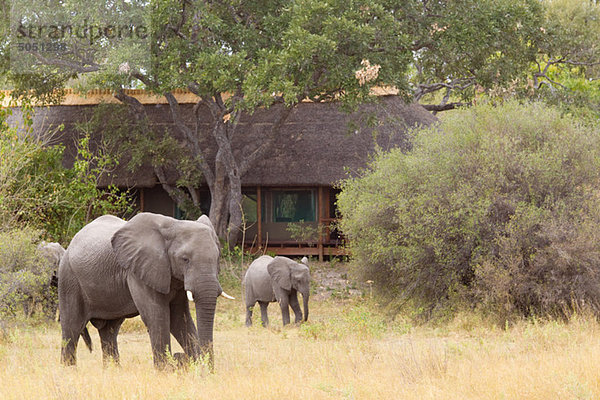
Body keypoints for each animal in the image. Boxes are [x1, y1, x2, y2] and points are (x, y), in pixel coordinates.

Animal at [58, 212, 231, 368]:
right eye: (185, 259)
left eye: (217, 258)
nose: (205, 368)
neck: (174, 225)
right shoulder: (137, 270)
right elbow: (157, 316)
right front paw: (165, 371)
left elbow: (179, 317)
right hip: (69, 279)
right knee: (72, 327)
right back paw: (69, 370)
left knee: (110, 330)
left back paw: (113, 371)